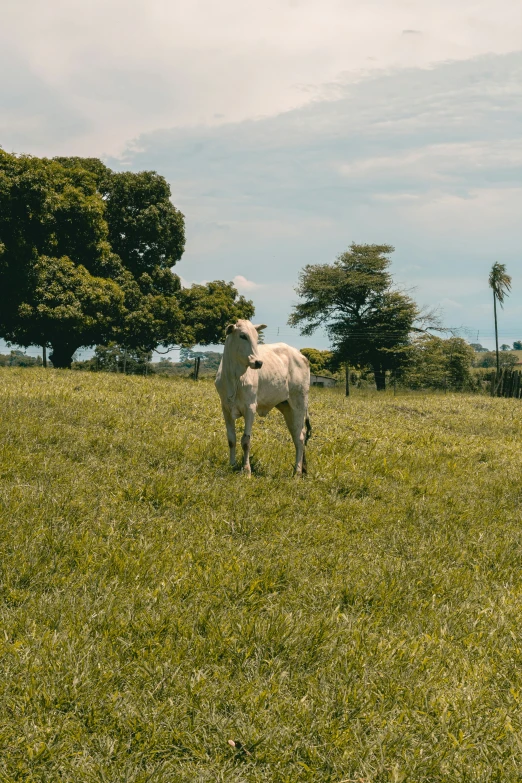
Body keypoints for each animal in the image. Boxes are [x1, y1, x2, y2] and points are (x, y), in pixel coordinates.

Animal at [214, 320, 310, 478]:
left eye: (256, 336)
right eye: (243, 336)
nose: (258, 362)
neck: (234, 377)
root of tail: (302, 356)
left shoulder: (250, 408)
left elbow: (245, 441)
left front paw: (247, 471)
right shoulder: (225, 408)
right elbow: (231, 439)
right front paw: (232, 465)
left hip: (299, 404)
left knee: (300, 438)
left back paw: (297, 472)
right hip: (287, 408)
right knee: (296, 436)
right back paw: (301, 469)